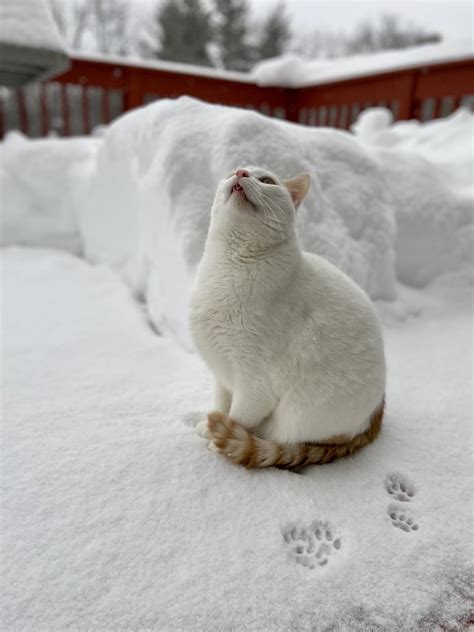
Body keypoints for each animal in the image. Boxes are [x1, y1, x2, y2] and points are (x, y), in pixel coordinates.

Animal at [189, 168, 386, 470]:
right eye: (232, 171)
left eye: (267, 181)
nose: (240, 172)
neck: (229, 265)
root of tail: (377, 414)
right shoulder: (223, 374)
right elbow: (221, 405)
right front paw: (207, 428)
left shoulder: (255, 387)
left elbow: (236, 418)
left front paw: (218, 441)